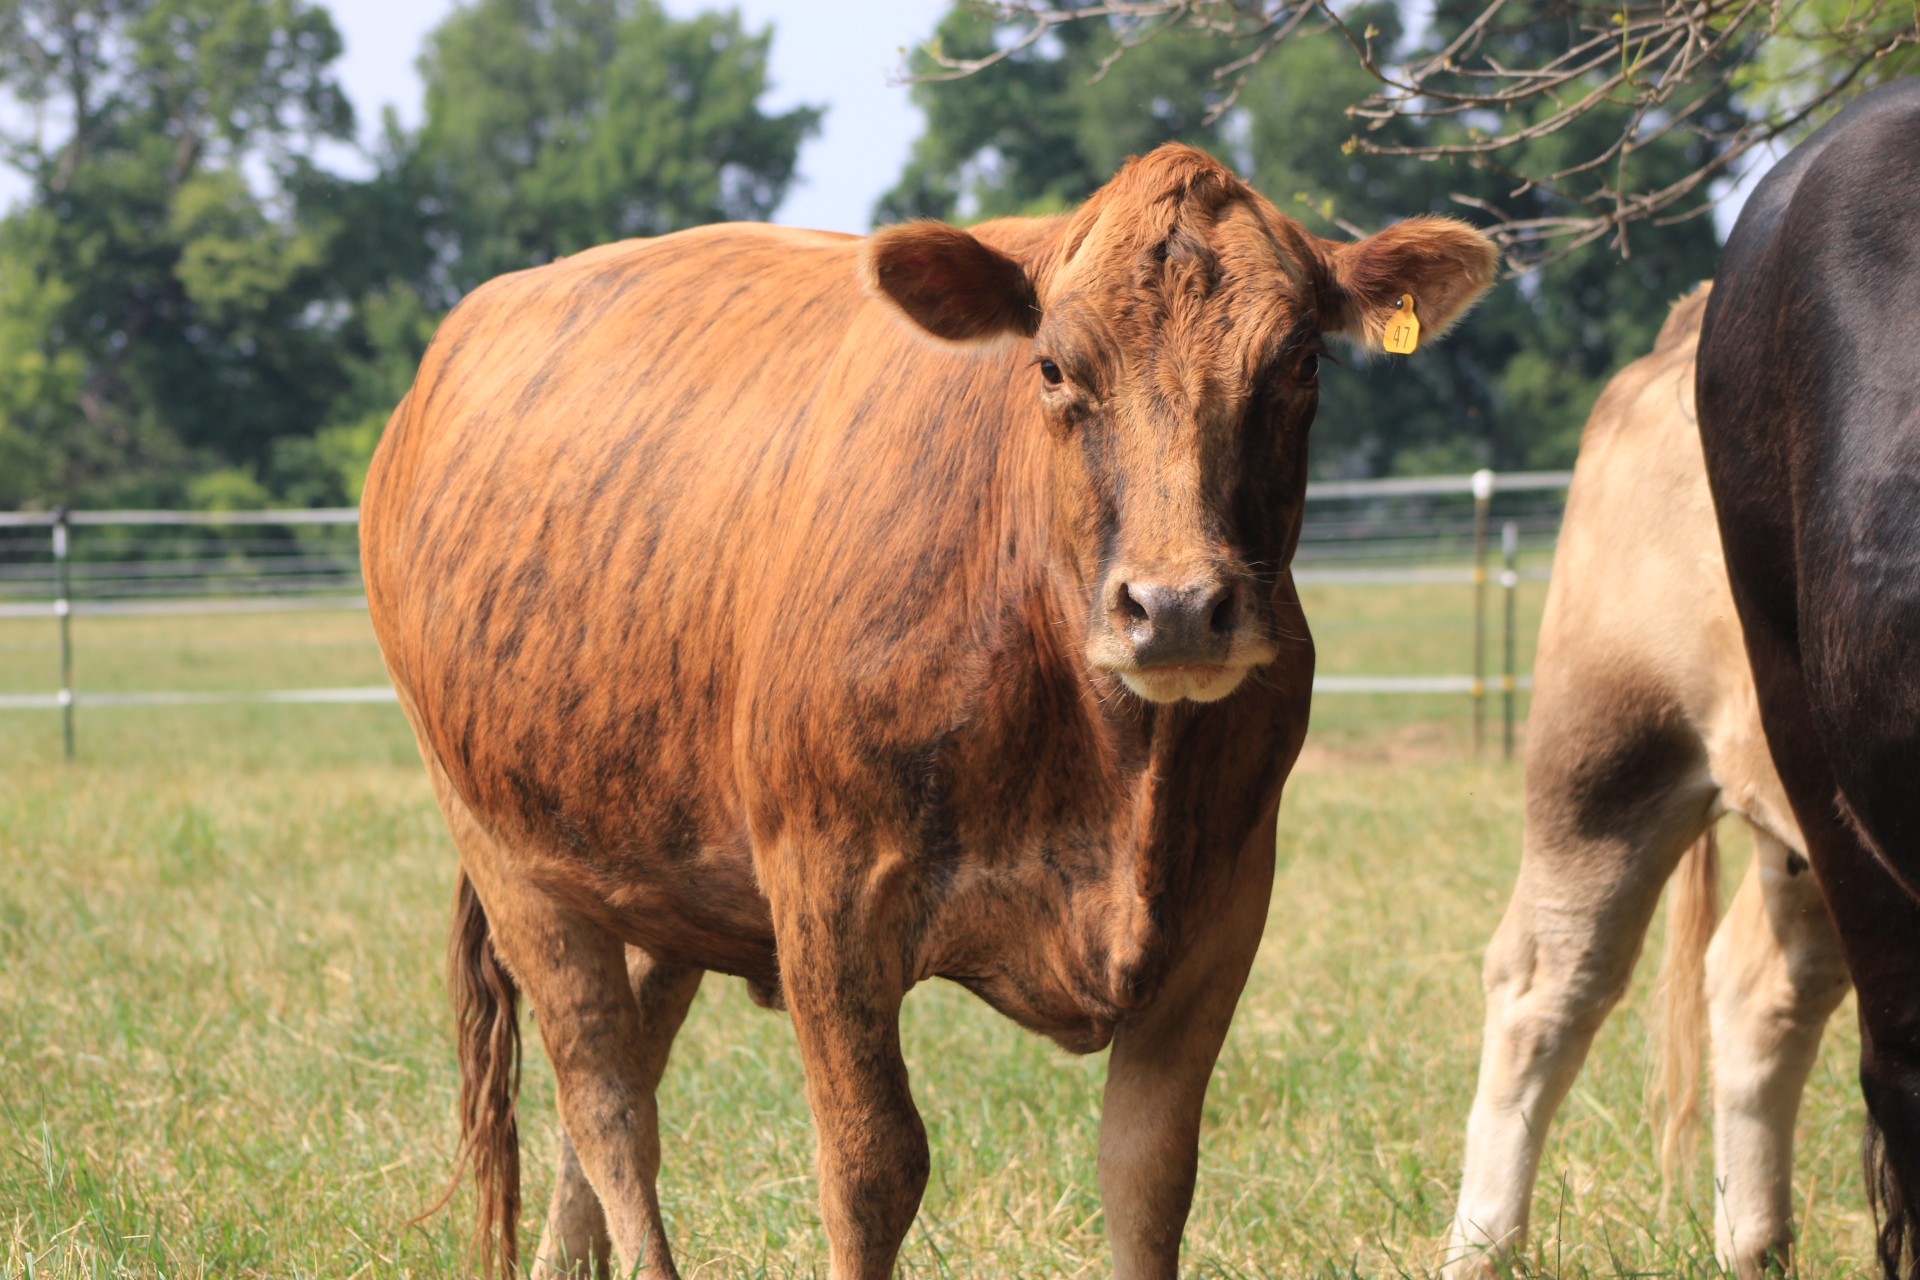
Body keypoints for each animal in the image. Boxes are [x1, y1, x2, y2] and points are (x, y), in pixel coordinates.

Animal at [359, 143, 1499, 1280]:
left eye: (1302, 363)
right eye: (1053, 366)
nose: (1176, 608)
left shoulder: (1222, 906)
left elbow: (1148, 1171)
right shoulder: (828, 892)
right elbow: (874, 1166)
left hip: (645, 861)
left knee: (609, 1084)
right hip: (510, 855)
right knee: (607, 1104)